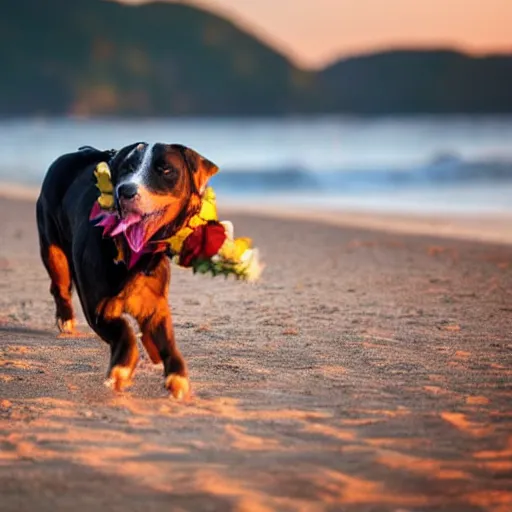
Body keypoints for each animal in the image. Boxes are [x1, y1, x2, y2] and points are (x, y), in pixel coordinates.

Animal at [36, 142, 218, 398]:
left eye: (165, 170)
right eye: (126, 168)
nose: (126, 190)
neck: (133, 254)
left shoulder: (155, 304)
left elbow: (166, 339)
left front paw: (176, 376)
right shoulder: (97, 306)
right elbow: (123, 330)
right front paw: (121, 368)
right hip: (53, 249)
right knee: (59, 286)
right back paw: (66, 319)